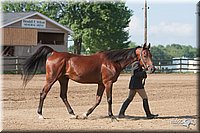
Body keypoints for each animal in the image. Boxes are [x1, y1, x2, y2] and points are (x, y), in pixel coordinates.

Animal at [21, 42, 155, 119]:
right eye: (144, 55)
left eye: (151, 55)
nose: (152, 68)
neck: (111, 61)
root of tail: (54, 52)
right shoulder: (108, 83)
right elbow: (109, 99)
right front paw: (111, 116)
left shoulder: (101, 84)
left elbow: (98, 100)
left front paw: (86, 113)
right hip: (51, 79)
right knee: (43, 93)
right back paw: (40, 114)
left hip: (63, 79)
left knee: (63, 95)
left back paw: (73, 114)